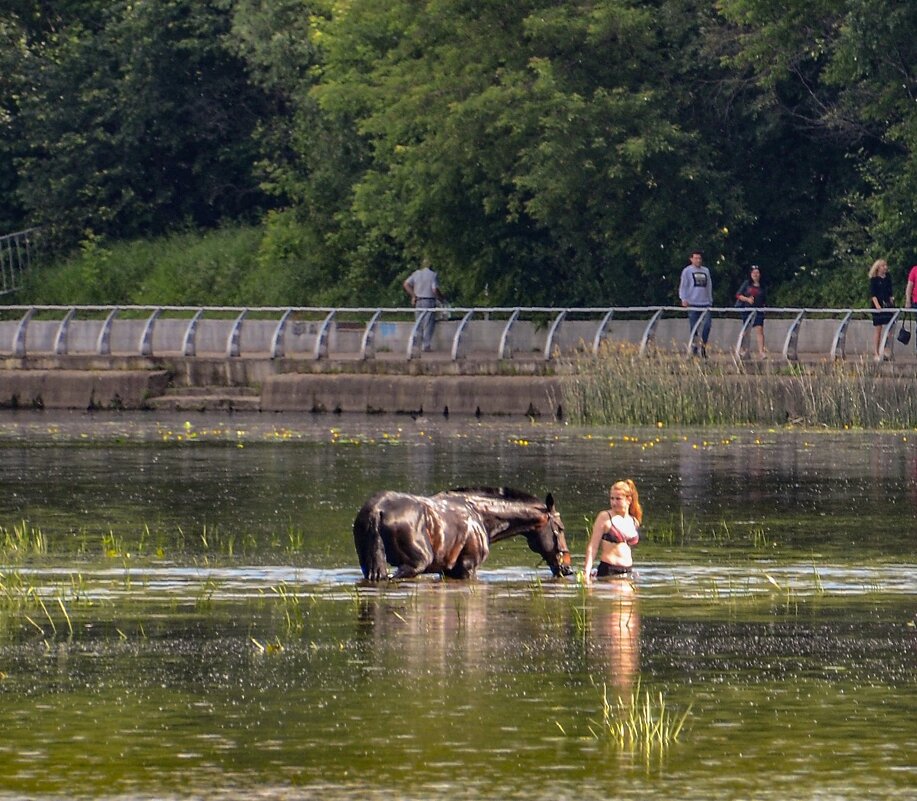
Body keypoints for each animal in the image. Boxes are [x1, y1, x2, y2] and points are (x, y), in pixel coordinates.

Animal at [352, 484, 572, 580]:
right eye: (560, 528)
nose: (567, 568)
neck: (482, 517)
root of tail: (377, 510)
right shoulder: (467, 567)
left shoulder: (448, 570)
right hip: (415, 564)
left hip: (370, 565)